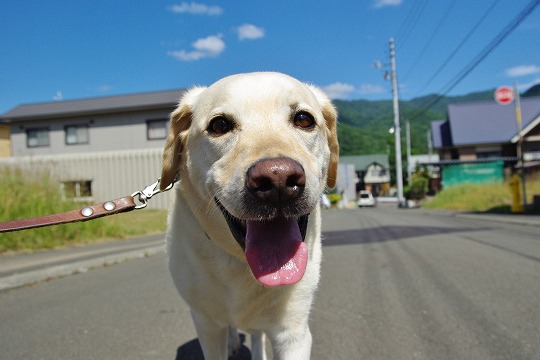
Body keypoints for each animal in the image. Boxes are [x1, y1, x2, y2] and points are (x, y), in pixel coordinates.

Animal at [159, 71, 338, 358]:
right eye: (219, 125)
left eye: (303, 119)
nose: (277, 180)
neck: (242, 263)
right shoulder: (207, 325)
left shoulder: (293, 331)